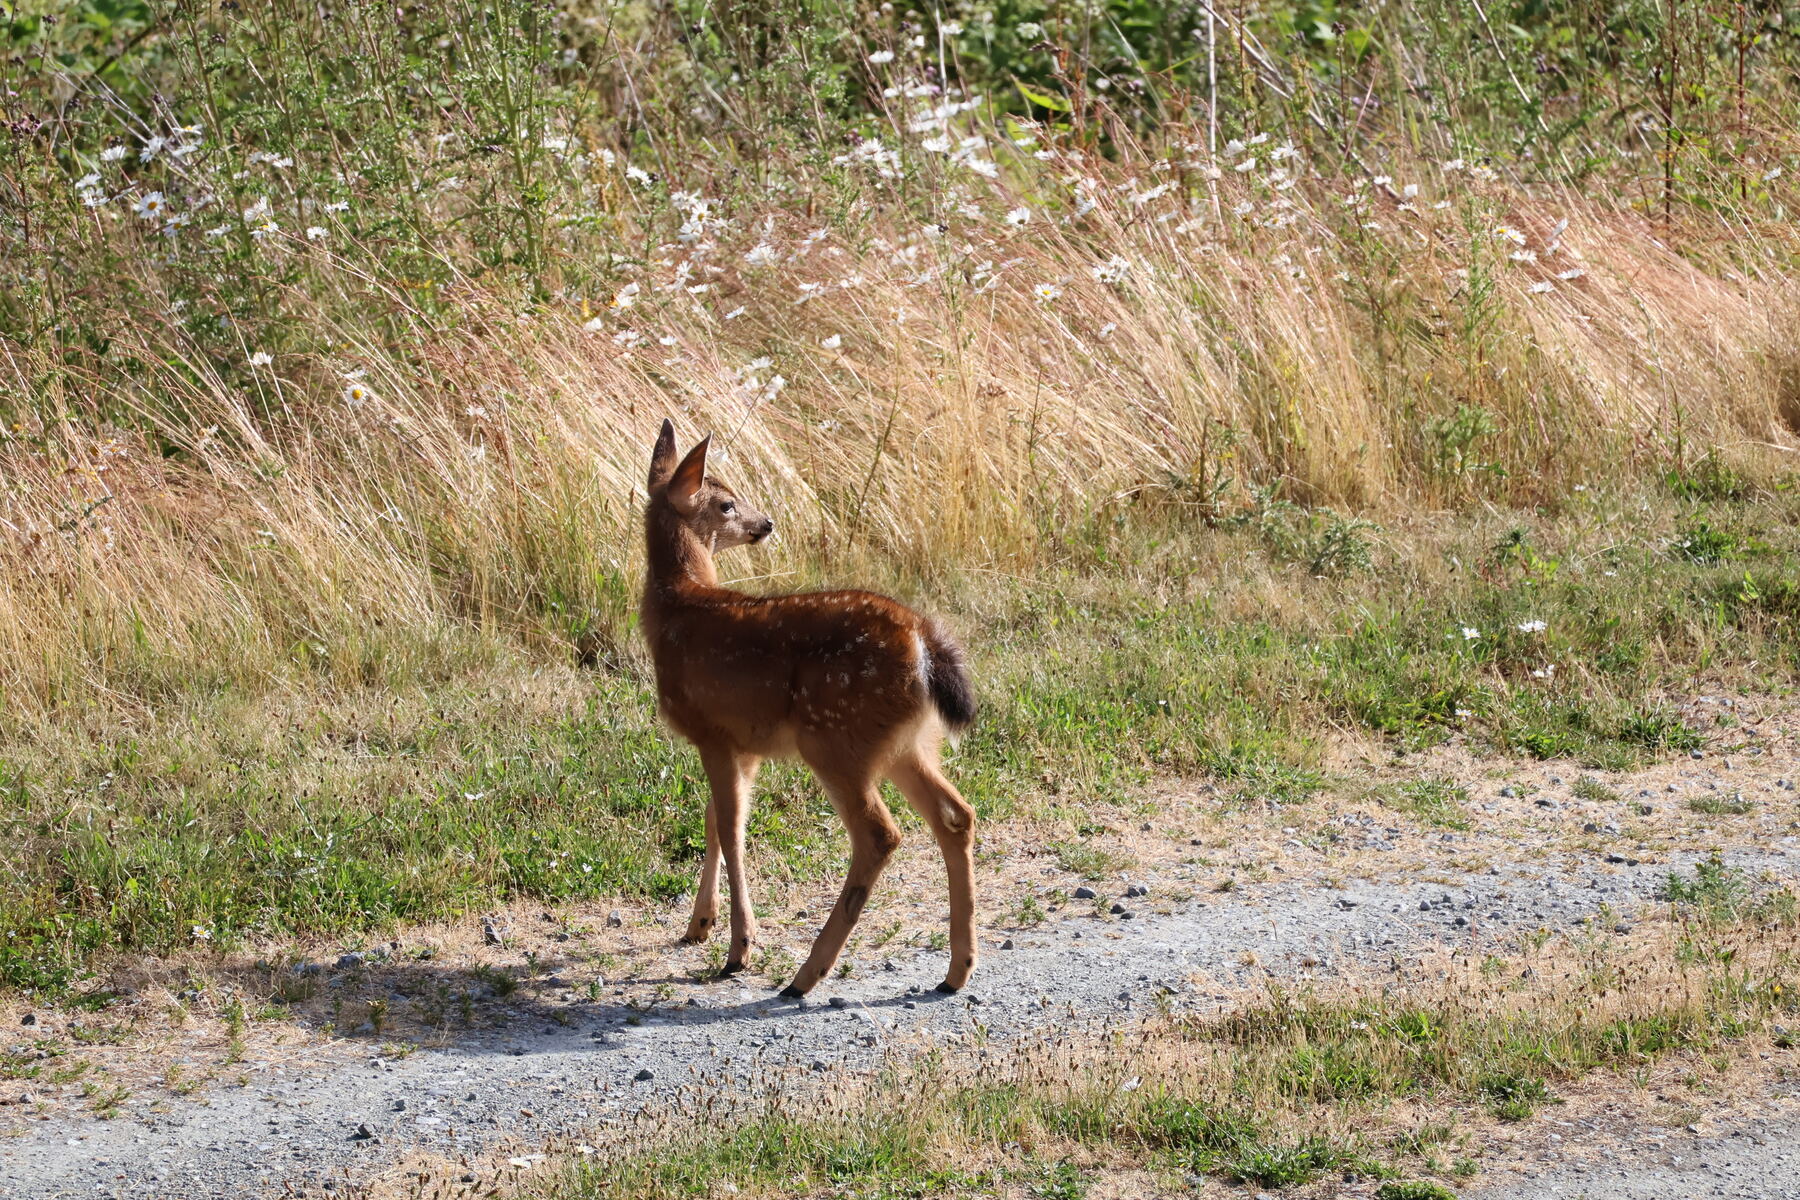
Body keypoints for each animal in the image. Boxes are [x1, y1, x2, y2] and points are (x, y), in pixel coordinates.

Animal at [639, 420, 979, 998]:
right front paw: (698, 925)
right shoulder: (743, 743)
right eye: (727, 503)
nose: (765, 523)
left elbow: (730, 827)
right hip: (904, 742)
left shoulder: (714, 732)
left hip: (834, 737)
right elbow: (715, 820)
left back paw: (806, 975)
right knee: (956, 815)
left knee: (880, 834)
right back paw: (956, 971)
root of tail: (924, 641)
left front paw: (739, 948)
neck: (678, 606)